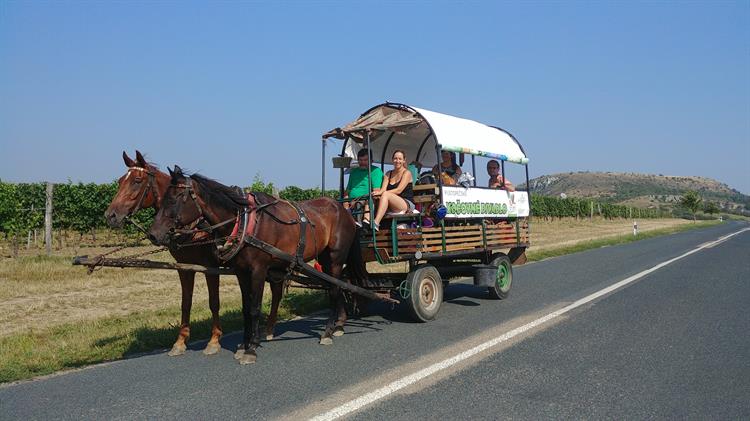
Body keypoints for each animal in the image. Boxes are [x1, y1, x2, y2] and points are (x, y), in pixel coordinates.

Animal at [107, 151, 290, 354]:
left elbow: (214, 301)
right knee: (276, 290)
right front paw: (180, 341)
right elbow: (185, 303)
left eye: (137, 180)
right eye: (120, 181)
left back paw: (269, 329)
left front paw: (214, 340)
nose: (111, 215)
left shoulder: (210, 267)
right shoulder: (184, 267)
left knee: (276, 292)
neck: (194, 227)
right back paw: (269, 328)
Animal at [148, 166, 368, 362]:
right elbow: (246, 308)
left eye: (176, 198)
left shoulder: (258, 270)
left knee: (334, 289)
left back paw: (328, 331)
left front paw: (251, 348)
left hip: (336, 258)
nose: (153, 234)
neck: (245, 222)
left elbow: (254, 308)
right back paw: (337, 326)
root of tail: (344, 210)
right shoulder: (241, 272)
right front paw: (244, 344)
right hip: (323, 258)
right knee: (335, 287)